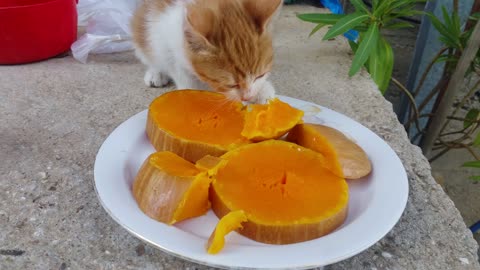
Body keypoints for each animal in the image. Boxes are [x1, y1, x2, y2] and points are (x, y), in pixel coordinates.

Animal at [129, 0, 284, 104]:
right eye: (231, 85)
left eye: (260, 75)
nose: (248, 96)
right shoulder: (165, 43)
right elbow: (180, 72)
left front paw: (262, 90)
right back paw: (155, 73)